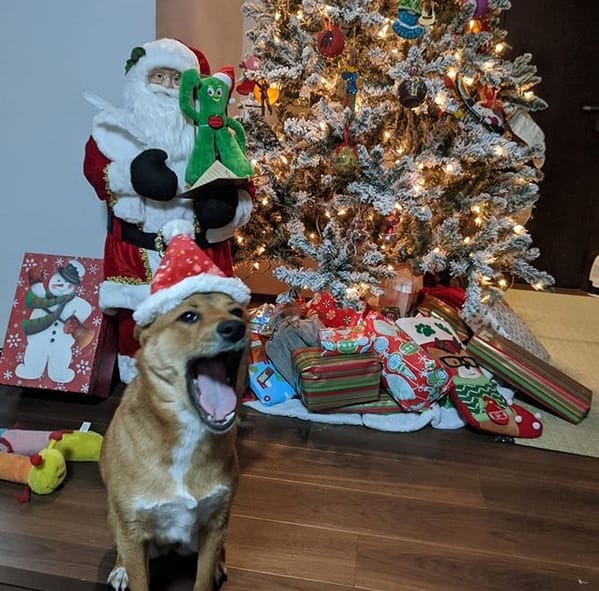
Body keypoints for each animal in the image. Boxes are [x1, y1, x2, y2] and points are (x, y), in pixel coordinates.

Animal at [100, 292, 249, 591]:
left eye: (238, 312)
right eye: (189, 316)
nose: (236, 328)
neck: (188, 431)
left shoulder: (215, 524)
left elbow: (203, 579)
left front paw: (212, 570)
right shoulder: (133, 531)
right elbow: (139, 579)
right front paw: (126, 572)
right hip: (115, 519)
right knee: (121, 546)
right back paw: (120, 569)